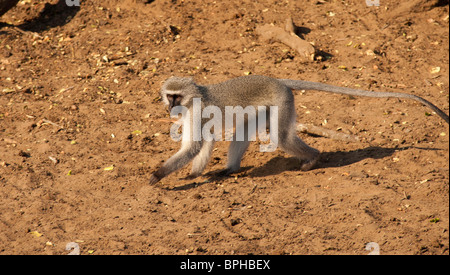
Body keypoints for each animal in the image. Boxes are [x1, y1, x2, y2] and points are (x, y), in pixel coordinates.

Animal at [149, 75, 448, 185]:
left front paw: (159, 174)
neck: (194, 97)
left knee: (281, 138)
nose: (170, 106)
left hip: (282, 102)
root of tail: (278, 81)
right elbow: (200, 144)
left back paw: (313, 158)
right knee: (243, 133)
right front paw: (194, 174)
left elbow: (195, 146)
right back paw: (230, 169)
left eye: (176, 96)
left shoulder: (196, 113)